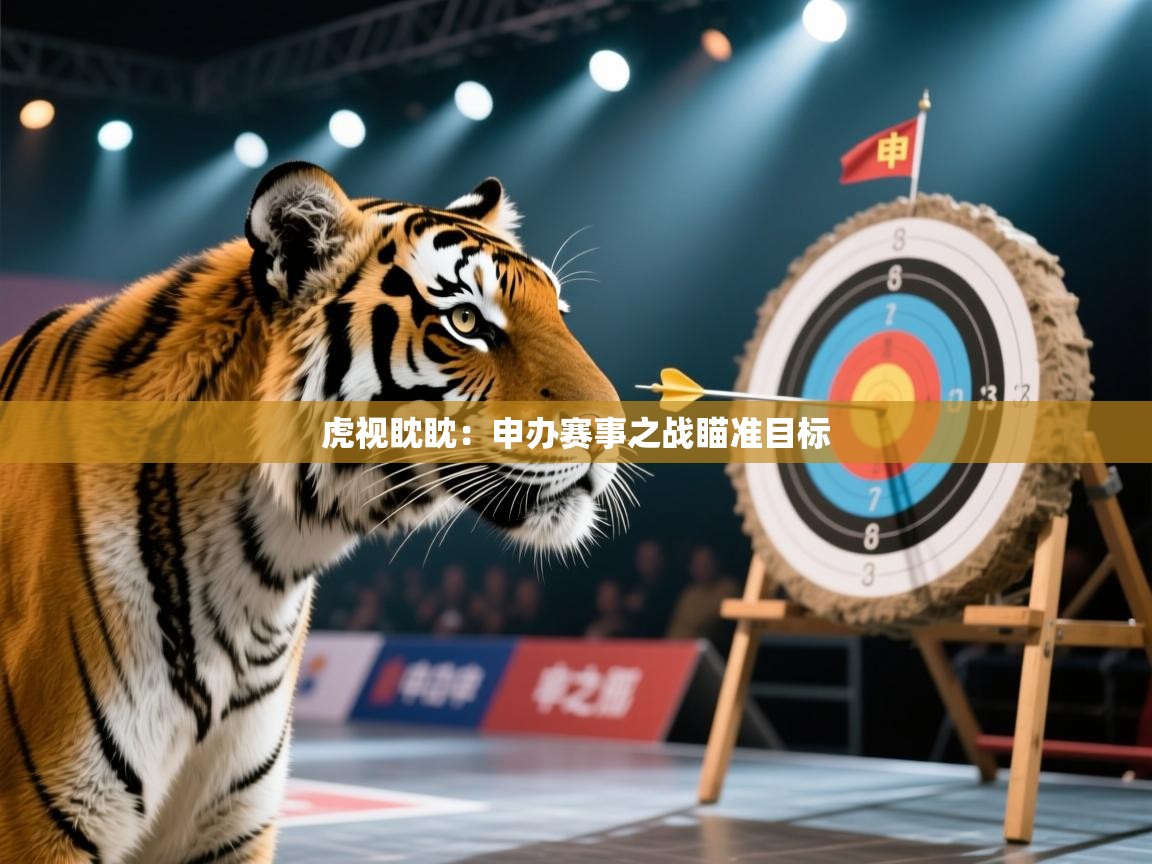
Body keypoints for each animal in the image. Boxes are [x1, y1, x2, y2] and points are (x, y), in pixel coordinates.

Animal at [0, 161, 627, 863]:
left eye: (559, 314)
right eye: (466, 319)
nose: (616, 429)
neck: (259, 568)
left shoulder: (229, 821)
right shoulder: (42, 820)